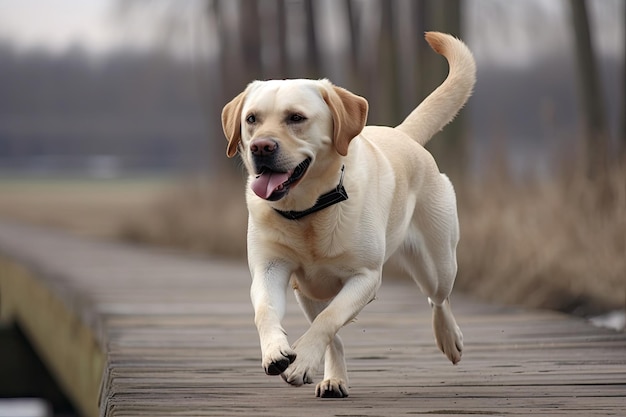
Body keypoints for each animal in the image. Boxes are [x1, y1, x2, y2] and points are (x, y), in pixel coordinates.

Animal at [219, 32, 472, 396]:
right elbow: (266, 310)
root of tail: (402, 133)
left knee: (438, 298)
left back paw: (449, 338)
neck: (308, 211)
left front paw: (301, 359)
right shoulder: (270, 268)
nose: (261, 147)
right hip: (307, 291)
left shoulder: (365, 277)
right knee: (333, 333)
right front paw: (278, 353)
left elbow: (330, 319)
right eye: (252, 119)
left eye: (296, 118)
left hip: (438, 264)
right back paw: (332, 378)